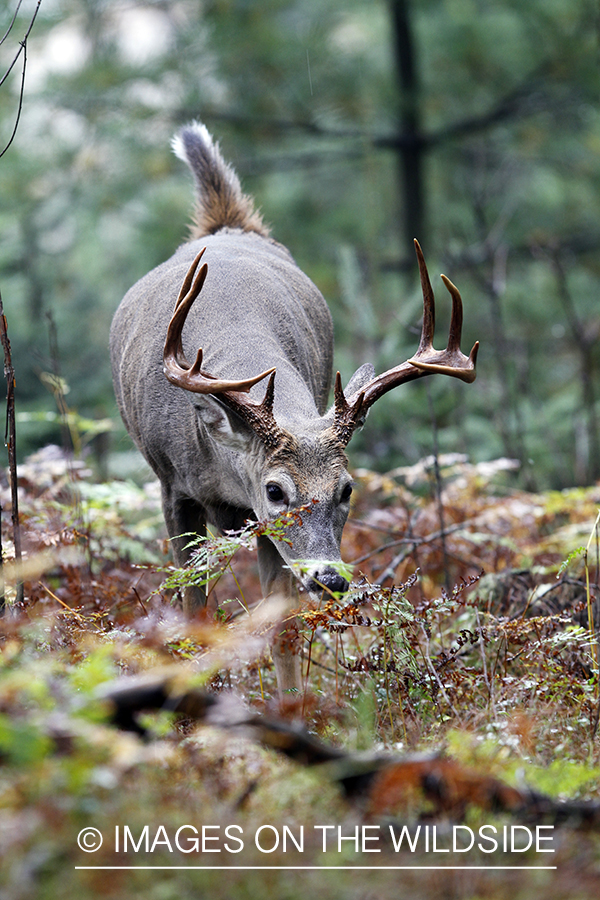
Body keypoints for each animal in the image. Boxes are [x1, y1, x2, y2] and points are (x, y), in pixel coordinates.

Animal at [111, 121, 478, 696]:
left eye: (347, 488)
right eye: (275, 490)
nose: (329, 577)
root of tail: (229, 223)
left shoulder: (267, 530)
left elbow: (280, 625)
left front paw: (292, 708)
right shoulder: (175, 490)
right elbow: (194, 612)